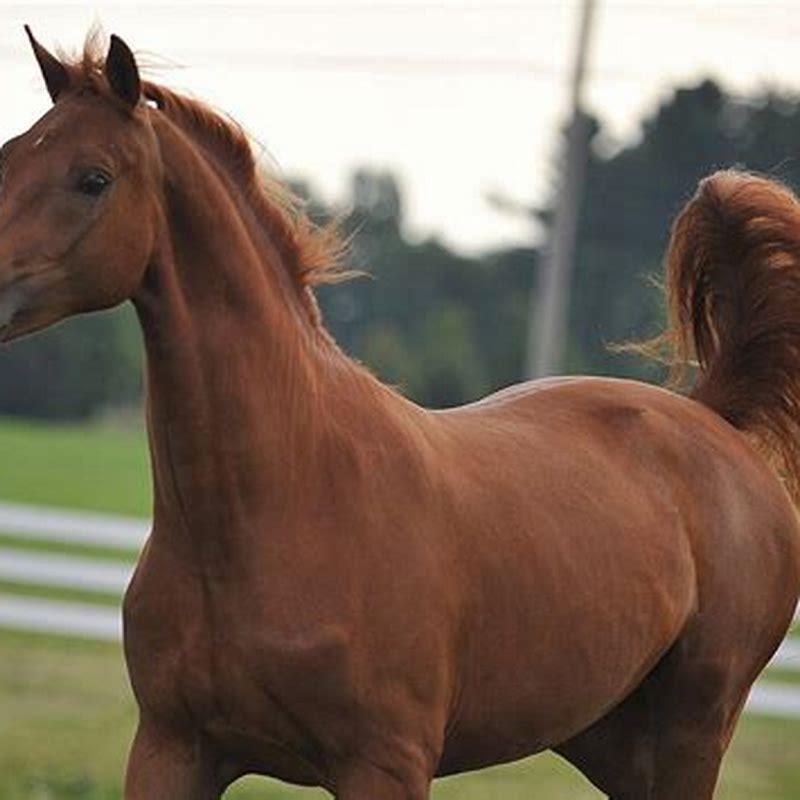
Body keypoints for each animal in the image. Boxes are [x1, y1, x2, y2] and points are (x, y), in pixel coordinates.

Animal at [1, 28, 798, 800]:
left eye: (93, 178)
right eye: (9, 157)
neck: (282, 497)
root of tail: (713, 418)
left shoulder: (383, 763)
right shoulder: (174, 749)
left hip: (690, 736)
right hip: (612, 743)